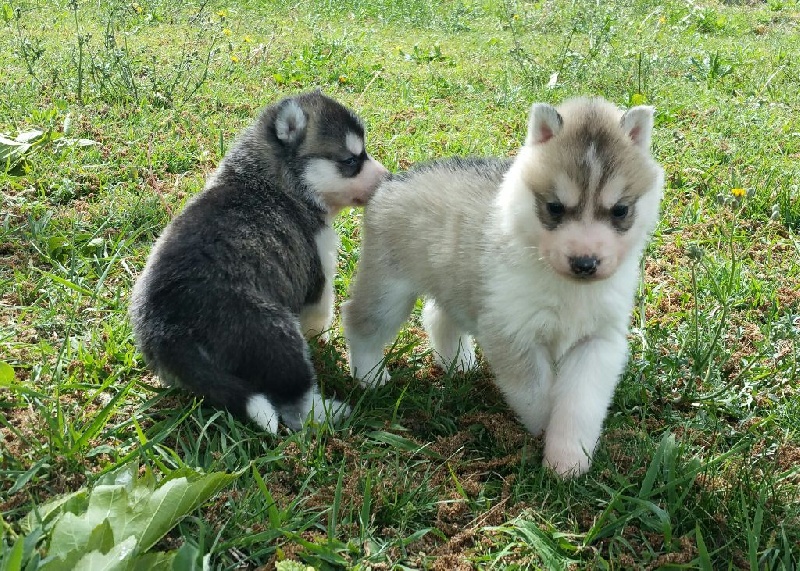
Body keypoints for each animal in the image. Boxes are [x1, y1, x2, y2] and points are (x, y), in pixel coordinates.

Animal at [129, 90, 388, 432]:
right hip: (275, 336)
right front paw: (323, 338)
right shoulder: (318, 268)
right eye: (350, 161)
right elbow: (320, 312)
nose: (389, 178)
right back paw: (330, 412)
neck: (270, 181)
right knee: (296, 403)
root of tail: (167, 331)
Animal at [342, 97, 663, 476]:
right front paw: (543, 431)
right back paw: (369, 375)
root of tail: (392, 181)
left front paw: (568, 458)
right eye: (554, 207)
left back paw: (457, 362)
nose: (585, 263)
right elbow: (535, 393)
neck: (567, 287)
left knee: (438, 316)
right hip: (389, 288)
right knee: (361, 321)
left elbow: (580, 403)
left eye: (620, 210)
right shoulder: (512, 332)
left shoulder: (597, 341)